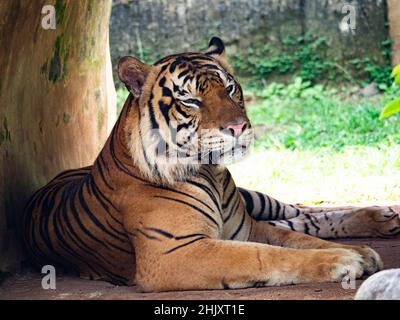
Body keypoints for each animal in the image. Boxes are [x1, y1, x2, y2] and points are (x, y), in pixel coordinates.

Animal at [23, 37, 400, 292]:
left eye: (230, 88)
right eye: (190, 100)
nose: (239, 127)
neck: (213, 174)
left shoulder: (246, 229)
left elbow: (300, 239)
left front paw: (359, 252)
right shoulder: (175, 251)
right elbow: (264, 255)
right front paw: (344, 260)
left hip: (255, 199)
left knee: (300, 213)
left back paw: (381, 217)